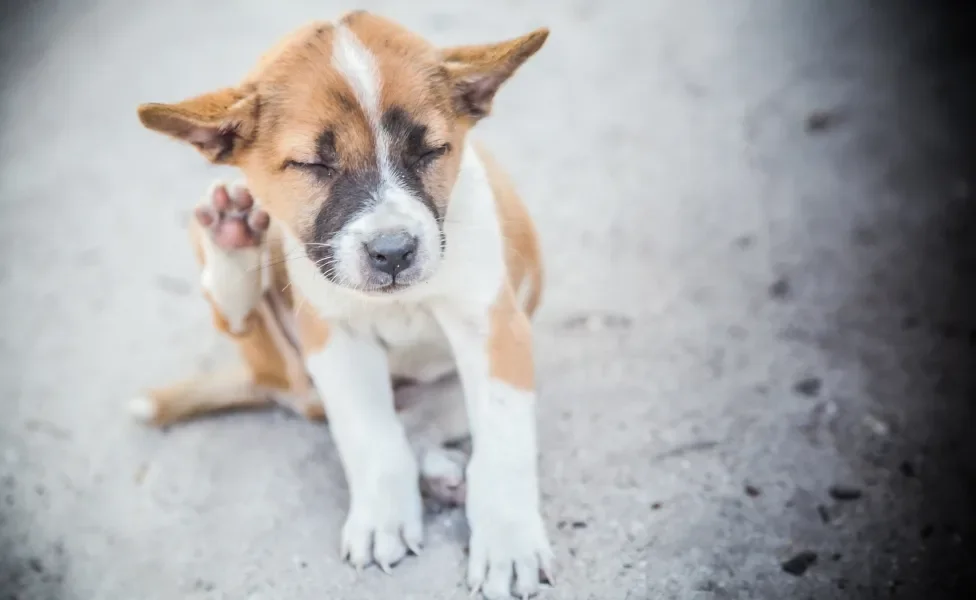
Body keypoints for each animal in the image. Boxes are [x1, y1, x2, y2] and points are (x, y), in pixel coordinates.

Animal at [133, 9, 552, 600]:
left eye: (430, 151)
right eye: (313, 164)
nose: (394, 251)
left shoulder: (494, 328)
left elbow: (504, 442)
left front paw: (508, 542)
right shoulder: (334, 338)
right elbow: (369, 434)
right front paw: (383, 519)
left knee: (421, 420)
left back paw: (445, 475)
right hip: (275, 315)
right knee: (248, 328)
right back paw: (232, 239)